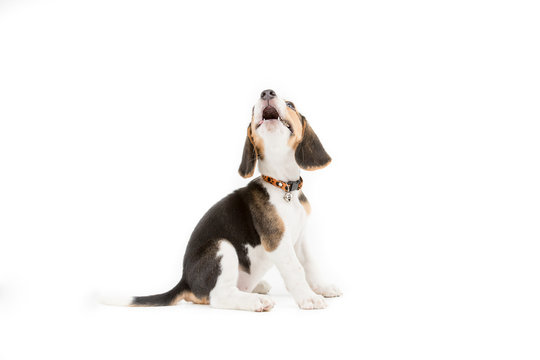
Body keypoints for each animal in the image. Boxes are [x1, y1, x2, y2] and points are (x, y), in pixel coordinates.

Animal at [105, 89, 342, 310]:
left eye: (291, 104)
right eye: (252, 110)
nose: (266, 93)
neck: (283, 186)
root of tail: (185, 281)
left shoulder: (300, 239)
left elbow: (310, 265)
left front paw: (322, 288)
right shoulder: (277, 240)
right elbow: (296, 269)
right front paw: (308, 298)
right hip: (222, 247)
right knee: (219, 297)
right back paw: (255, 301)